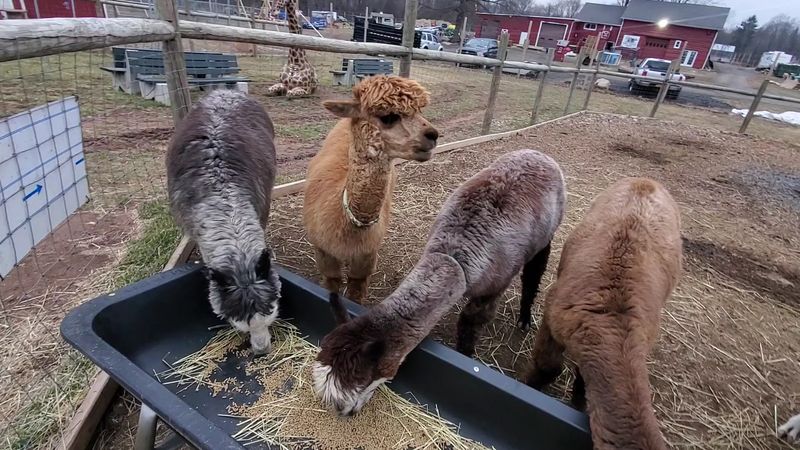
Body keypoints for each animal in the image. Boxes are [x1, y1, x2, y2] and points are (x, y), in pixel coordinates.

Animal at [312, 149, 566, 415]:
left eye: (358, 387)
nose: (348, 414)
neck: (454, 258)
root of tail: (538, 154)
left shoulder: (492, 287)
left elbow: (471, 323)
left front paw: (466, 355)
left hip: (546, 234)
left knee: (533, 274)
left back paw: (525, 319)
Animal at [525, 177, 682, 450]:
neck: (614, 324)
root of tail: (646, 181)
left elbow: (580, 378)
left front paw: (578, 401)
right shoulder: (554, 316)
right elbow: (547, 366)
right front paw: (528, 385)